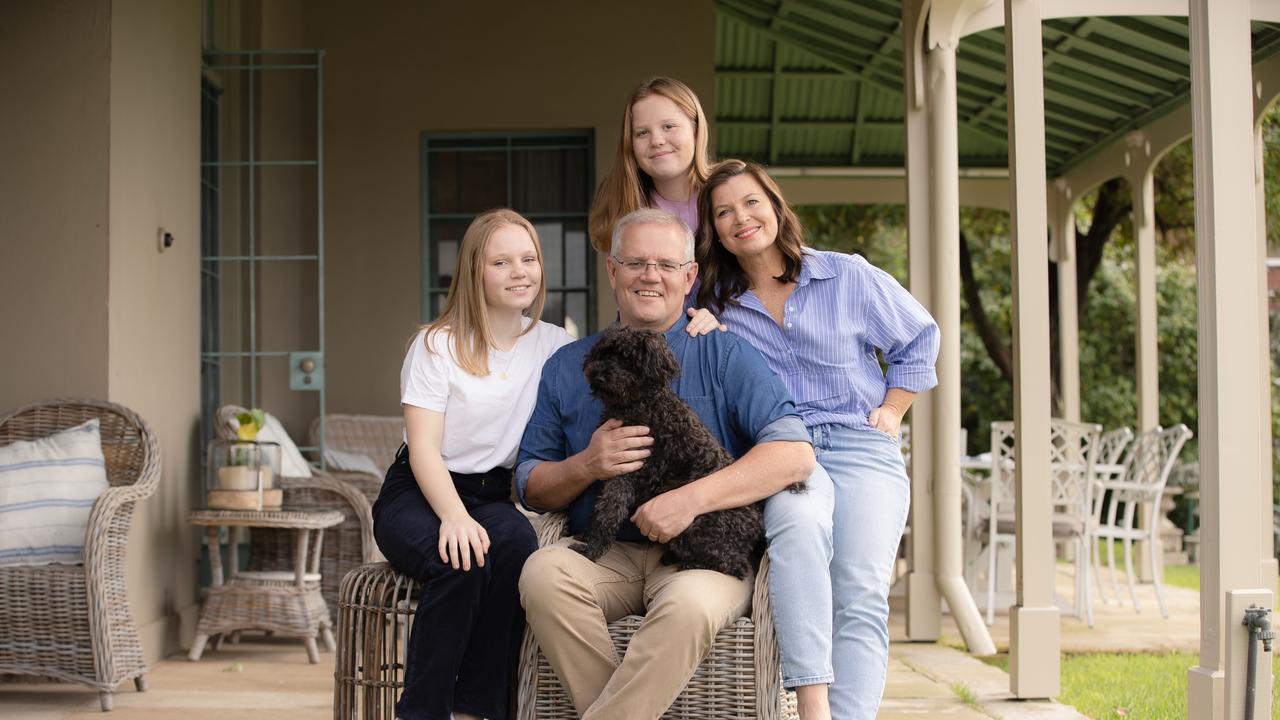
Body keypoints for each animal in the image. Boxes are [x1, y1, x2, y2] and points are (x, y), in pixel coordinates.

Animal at [573, 325, 762, 576]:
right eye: (606, 352)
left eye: (628, 360)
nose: (600, 375)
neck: (642, 403)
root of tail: (757, 525)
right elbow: (601, 507)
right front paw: (586, 536)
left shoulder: (628, 473)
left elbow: (609, 511)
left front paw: (591, 550)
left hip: (695, 529)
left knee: (734, 566)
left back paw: (689, 563)